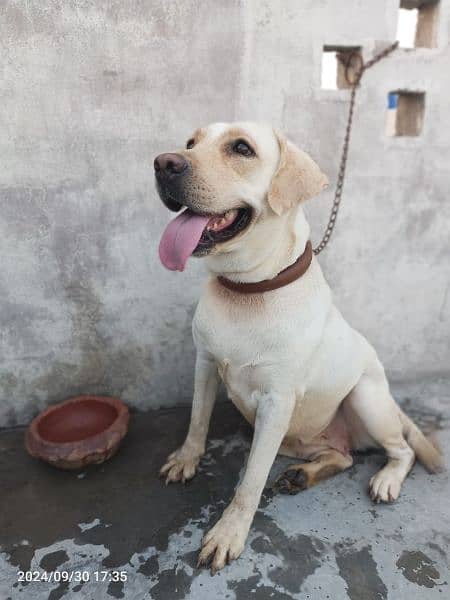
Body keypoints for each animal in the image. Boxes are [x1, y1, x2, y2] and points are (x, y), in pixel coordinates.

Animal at [153, 120, 442, 572]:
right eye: (190, 143)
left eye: (241, 148)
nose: (164, 163)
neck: (247, 289)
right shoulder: (205, 363)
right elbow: (197, 421)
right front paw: (187, 460)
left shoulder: (276, 401)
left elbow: (250, 479)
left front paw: (229, 532)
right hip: (291, 434)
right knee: (341, 455)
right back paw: (305, 473)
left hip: (365, 398)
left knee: (402, 450)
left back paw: (386, 479)